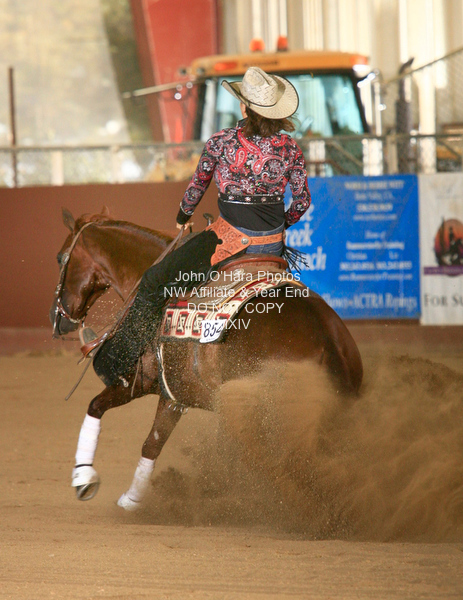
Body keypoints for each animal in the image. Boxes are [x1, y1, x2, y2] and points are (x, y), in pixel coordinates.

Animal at [50, 207, 363, 511]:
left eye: (60, 257)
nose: (59, 320)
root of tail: (327, 339)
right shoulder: (173, 393)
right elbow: (152, 443)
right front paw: (132, 499)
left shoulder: (137, 381)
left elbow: (95, 406)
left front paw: (83, 479)